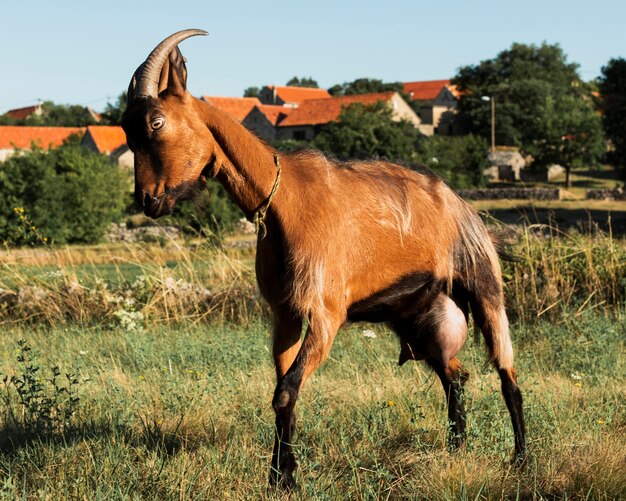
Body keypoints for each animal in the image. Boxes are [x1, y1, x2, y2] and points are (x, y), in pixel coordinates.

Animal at [120, 30, 520, 488]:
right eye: (125, 128)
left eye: (155, 122)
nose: (147, 200)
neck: (285, 202)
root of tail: (461, 205)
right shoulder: (285, 314)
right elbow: (282, 393)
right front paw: (280, 475)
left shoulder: (325, 314)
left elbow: (285, 391)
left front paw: (286, 476)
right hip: (423, 321)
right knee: (456, 376)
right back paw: (457, 447)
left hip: (483, 284)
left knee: (507, 375)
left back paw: (520, 459)